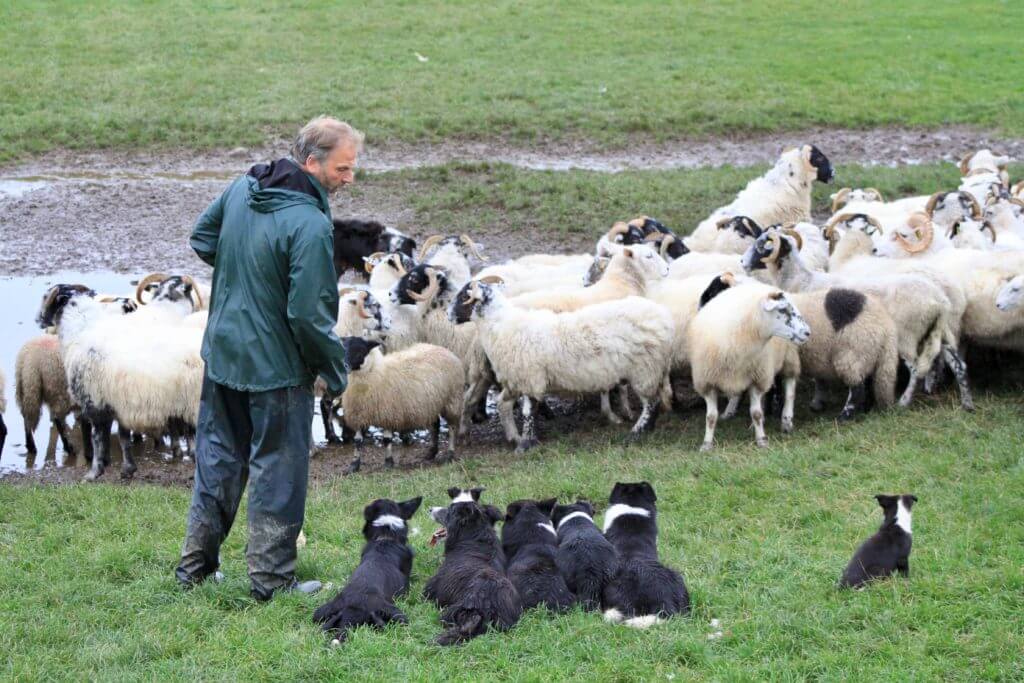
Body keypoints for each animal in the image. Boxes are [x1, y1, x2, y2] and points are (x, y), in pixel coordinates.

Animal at [36, 282, 203, 481]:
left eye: (46, 297)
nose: (38, 320)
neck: (81, 332)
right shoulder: (119, 405)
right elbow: (123, 439)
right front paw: (127, 469)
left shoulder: (95, 403)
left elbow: (98, 439)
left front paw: (93, 473)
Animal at [446, 280, 671, 450]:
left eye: (463, 296)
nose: (448, 316)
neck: (502, 325)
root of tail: (663, 317)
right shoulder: (521, 379)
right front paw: (525, 440)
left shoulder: (531, 378)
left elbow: (528, 412)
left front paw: (526, 444)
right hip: (652, 370)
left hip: (645, 369)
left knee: (651, 403)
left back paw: (637, 432)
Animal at [688, 280, 806, 450]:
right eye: (783, 310)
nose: (808, 332)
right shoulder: (707, 382)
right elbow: (710, 417)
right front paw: (707, 444)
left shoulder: (757, 379)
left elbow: (756, 413)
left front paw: (761, 439)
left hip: (788, 357)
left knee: (790, 389)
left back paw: (786, 421)